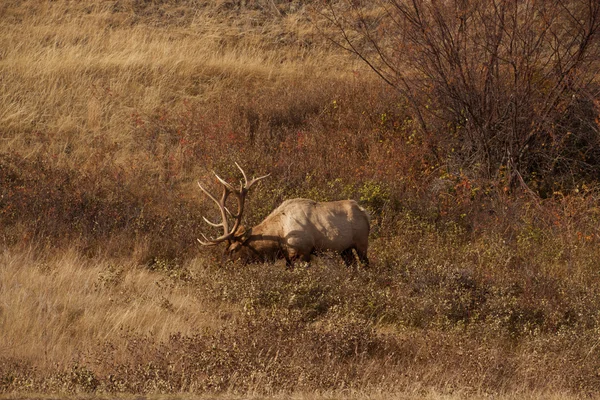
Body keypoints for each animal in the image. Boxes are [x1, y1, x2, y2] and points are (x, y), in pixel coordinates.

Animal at [197, 162, 370, 268]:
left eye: (233, 249)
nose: (222, 265)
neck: (280, 235)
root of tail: (365, 213)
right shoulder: (288, 257)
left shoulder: (302, 252)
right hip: (345, 249)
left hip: (361, 243)